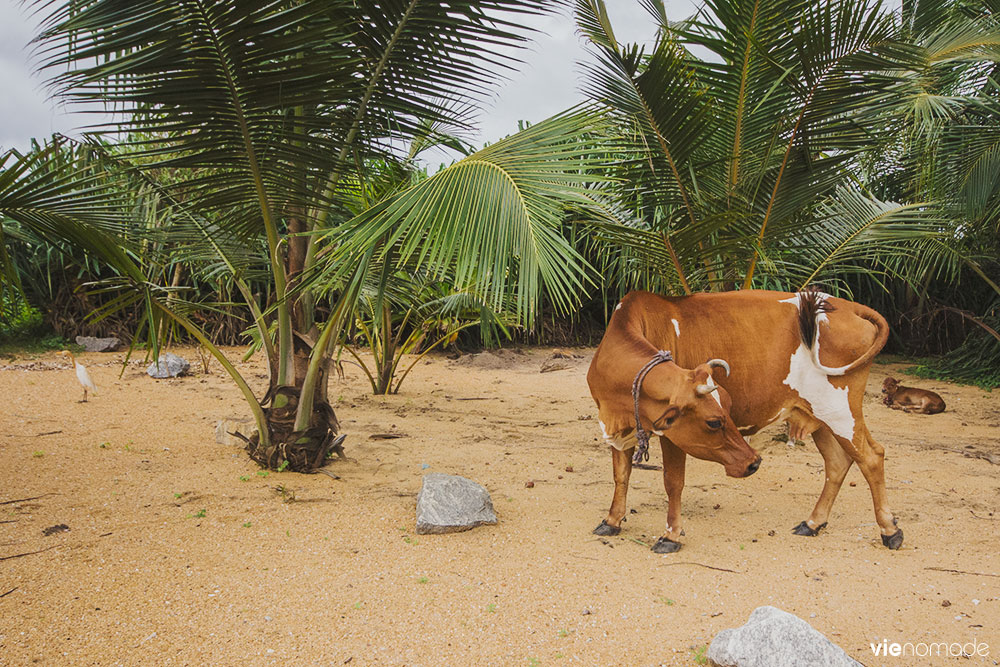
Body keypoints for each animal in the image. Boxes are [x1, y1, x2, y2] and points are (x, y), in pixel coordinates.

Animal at [584, 290, 908, 556]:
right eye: (715, 421)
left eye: (726, 410)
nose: (754, 463)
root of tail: (850, 306)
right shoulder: (617, 426)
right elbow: (621, 474)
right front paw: (612, 520)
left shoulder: (672, 435)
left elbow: (672, 482)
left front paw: (671, 535)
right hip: (819, 414)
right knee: (838, 463)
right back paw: (813, 522)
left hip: (840, 410)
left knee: (871, 457)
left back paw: (890, 530)